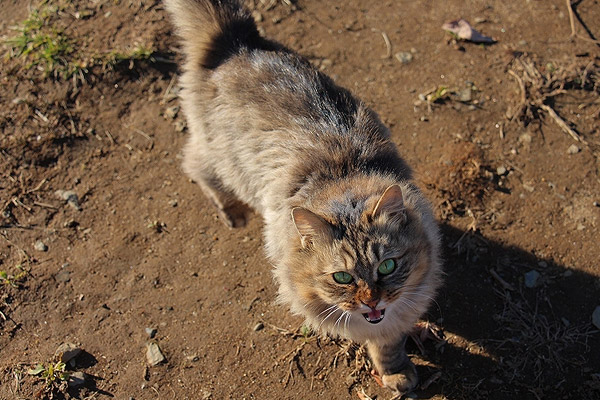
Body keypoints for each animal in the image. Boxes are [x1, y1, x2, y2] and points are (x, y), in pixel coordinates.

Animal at [164, 0, 440, 394]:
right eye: (341, 278)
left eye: (387, 267)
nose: (371, 301)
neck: (343, 176)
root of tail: (236, 40)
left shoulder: (396, 312)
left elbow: (388, 342)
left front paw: (395, 371)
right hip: (224, 160)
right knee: (194, 162)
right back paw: (232, 211)